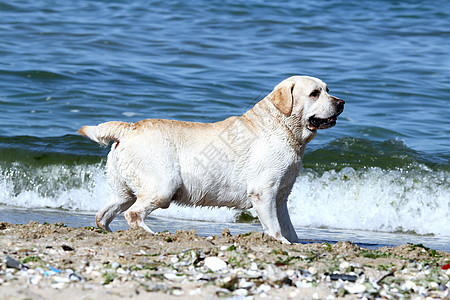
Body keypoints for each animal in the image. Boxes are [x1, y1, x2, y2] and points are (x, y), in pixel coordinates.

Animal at [79, 76, 344, 243]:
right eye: (314, 93)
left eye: (328, 89)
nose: (341, 102)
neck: (282, 127)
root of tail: (128, 128)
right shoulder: (264, 192)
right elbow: (275, 227)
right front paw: (280, 242)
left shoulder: (281, 196)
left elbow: (289, 227)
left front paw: (295, 244)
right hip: (163, 186)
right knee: (133, 215)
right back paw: (155, 236)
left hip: (124, 191)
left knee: (103, 215)